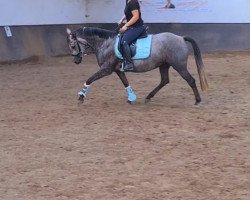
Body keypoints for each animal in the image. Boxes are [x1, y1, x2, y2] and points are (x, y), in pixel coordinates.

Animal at [65, 27, 208, 105]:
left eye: (72, 45)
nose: (76, 61)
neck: (105, 43)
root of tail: (181, 38)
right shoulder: (118, 70)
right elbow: (125, 82)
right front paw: (131, 98)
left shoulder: (106, 69)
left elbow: (90, 79)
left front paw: (81, 96)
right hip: (164, 65)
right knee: (164, 80)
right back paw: (149, 96)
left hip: (179, 66)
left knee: (190, 80)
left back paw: (198, 100)